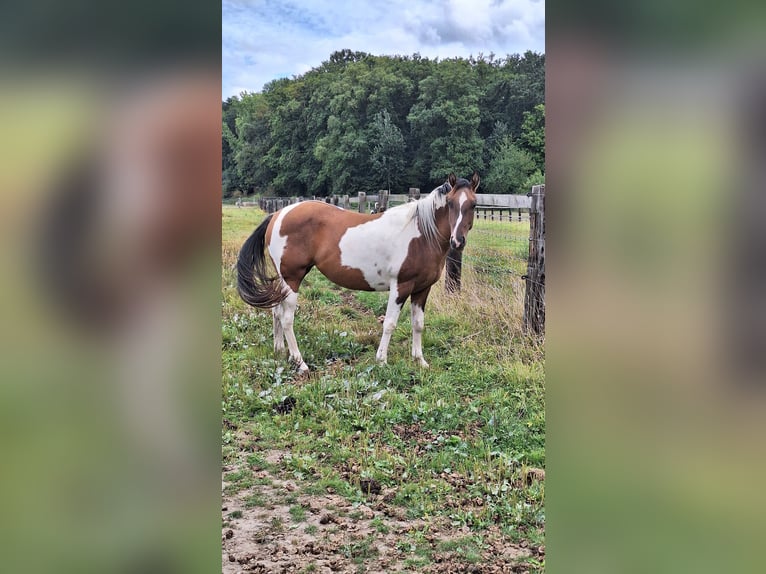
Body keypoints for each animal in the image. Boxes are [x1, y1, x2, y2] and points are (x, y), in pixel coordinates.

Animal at [237, 172, 480, 373]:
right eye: (450, 203)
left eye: (474, 204)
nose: (457, 241)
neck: (421, 234)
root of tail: (278, 214)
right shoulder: (400, 286)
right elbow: (389, 323)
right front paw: (382, 360)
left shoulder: (422, 289)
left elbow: (418, 324)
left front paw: (419, 361)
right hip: (292, 279)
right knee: (287, 319)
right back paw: (300, 362)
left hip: (284, 281)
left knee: (276, 312)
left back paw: (280, 352)